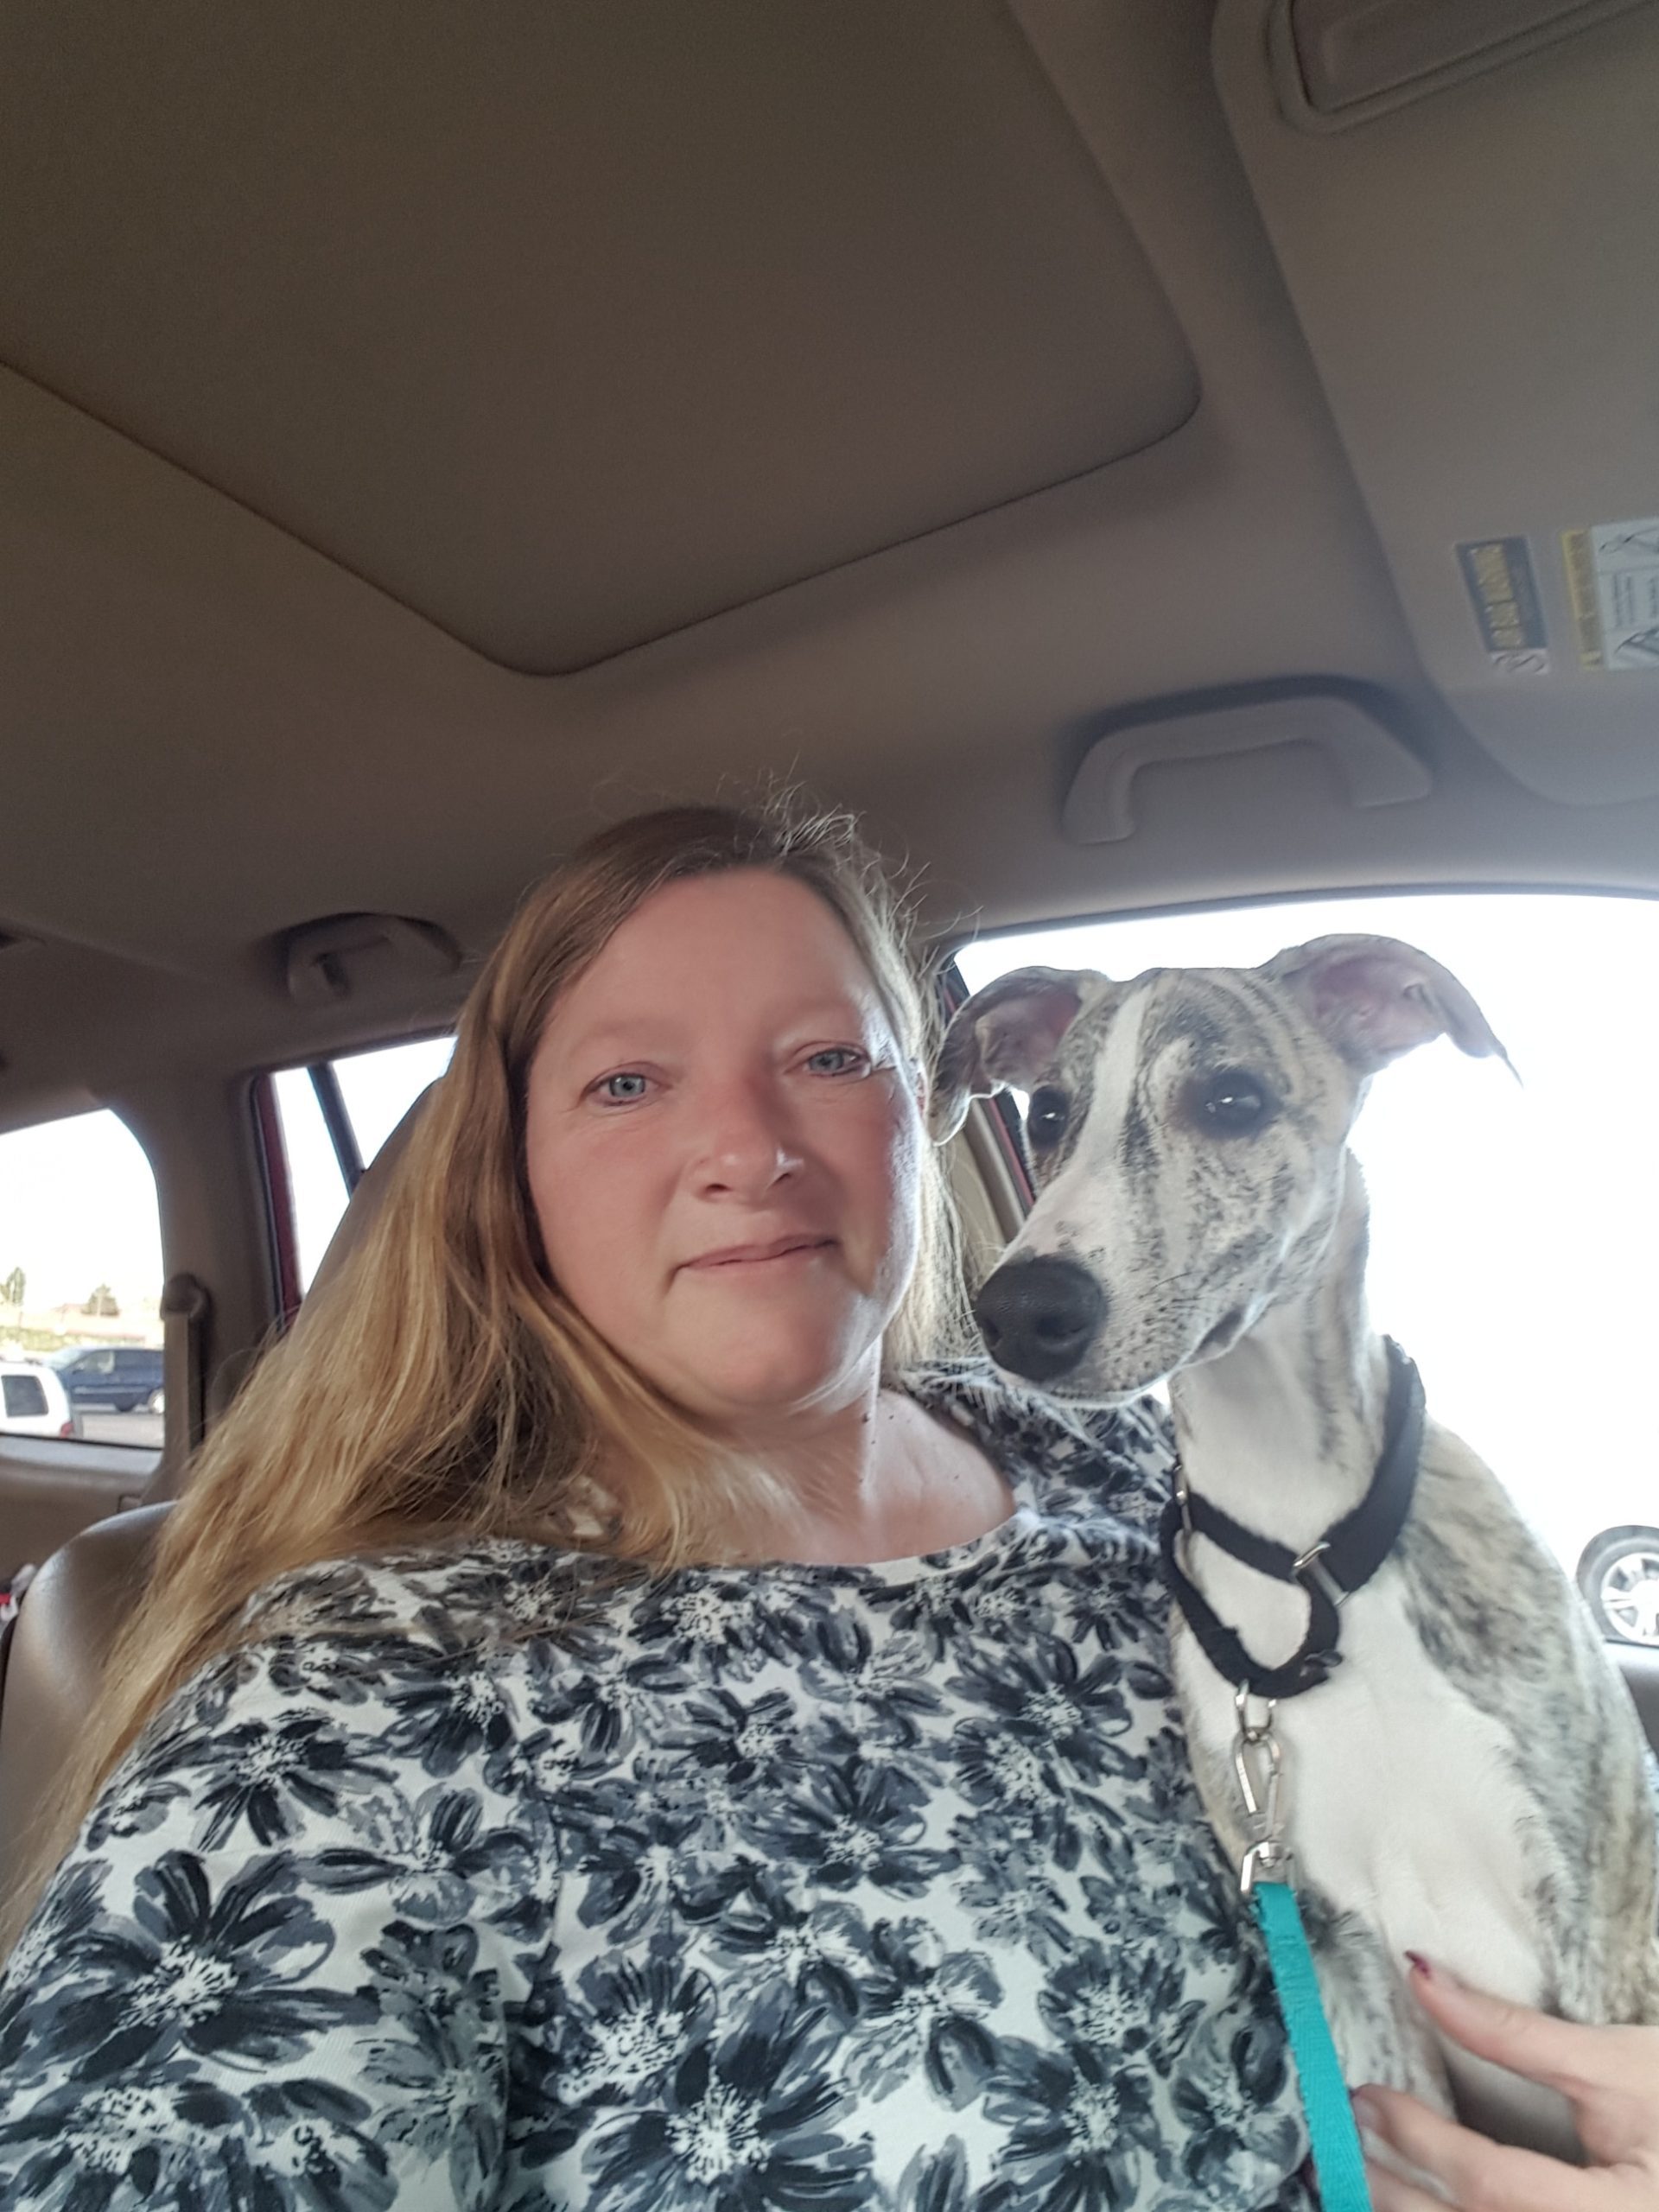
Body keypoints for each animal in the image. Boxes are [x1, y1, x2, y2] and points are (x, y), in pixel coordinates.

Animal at [938, 933, 1659, 2158]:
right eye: (1047, 1112)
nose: (1022, 1310)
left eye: (1232, 1099)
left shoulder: (1595, 1930)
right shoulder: (1340, 1953)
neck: (1309, 1546)